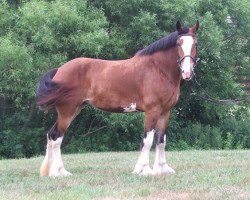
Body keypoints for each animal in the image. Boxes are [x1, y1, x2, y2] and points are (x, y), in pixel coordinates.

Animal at [36, 20, 199, 177]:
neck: (158, 69)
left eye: (195, 44)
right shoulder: (152, 110)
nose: (187, 72)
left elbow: (161, 140)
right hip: (67, 111)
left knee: (51, 135)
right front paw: (144, 170)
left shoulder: (165, 111)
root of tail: (59, 70)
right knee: (56, 137)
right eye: (178, 44)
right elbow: (147, 140)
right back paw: (58, 172)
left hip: (74, 110)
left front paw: (161, 169)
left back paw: (55, 171)